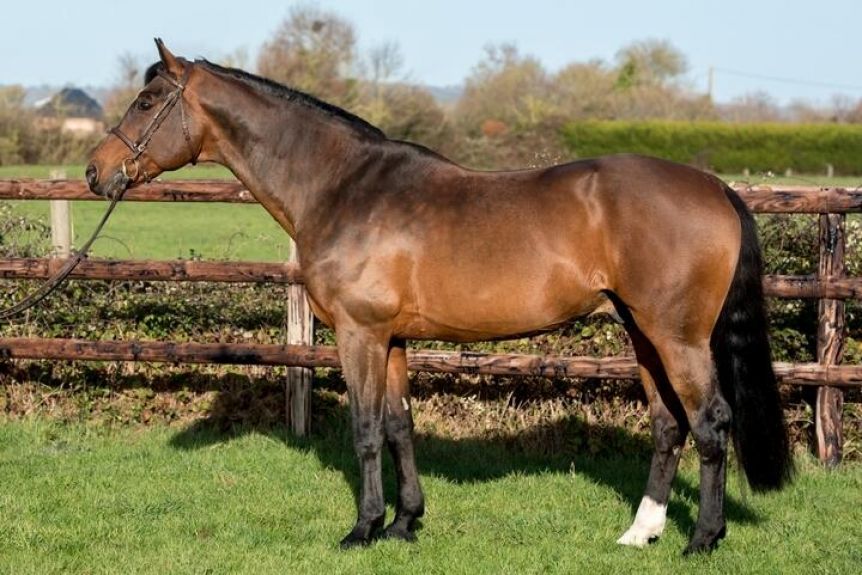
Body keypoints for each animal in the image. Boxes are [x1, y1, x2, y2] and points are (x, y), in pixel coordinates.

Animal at [86, 39, 793, 555]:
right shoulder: (393, 338)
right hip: (641, 332)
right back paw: (640, 533)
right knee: (668, 424)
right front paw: (405, 524)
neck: (343, 186)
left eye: (146, 101)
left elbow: (366, 429)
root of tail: (716, 187)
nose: (97, 172)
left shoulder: (359, 334)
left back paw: (702, 539)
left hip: (677, 336)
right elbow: (400, 426)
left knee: (710, 422)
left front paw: (363, 529)